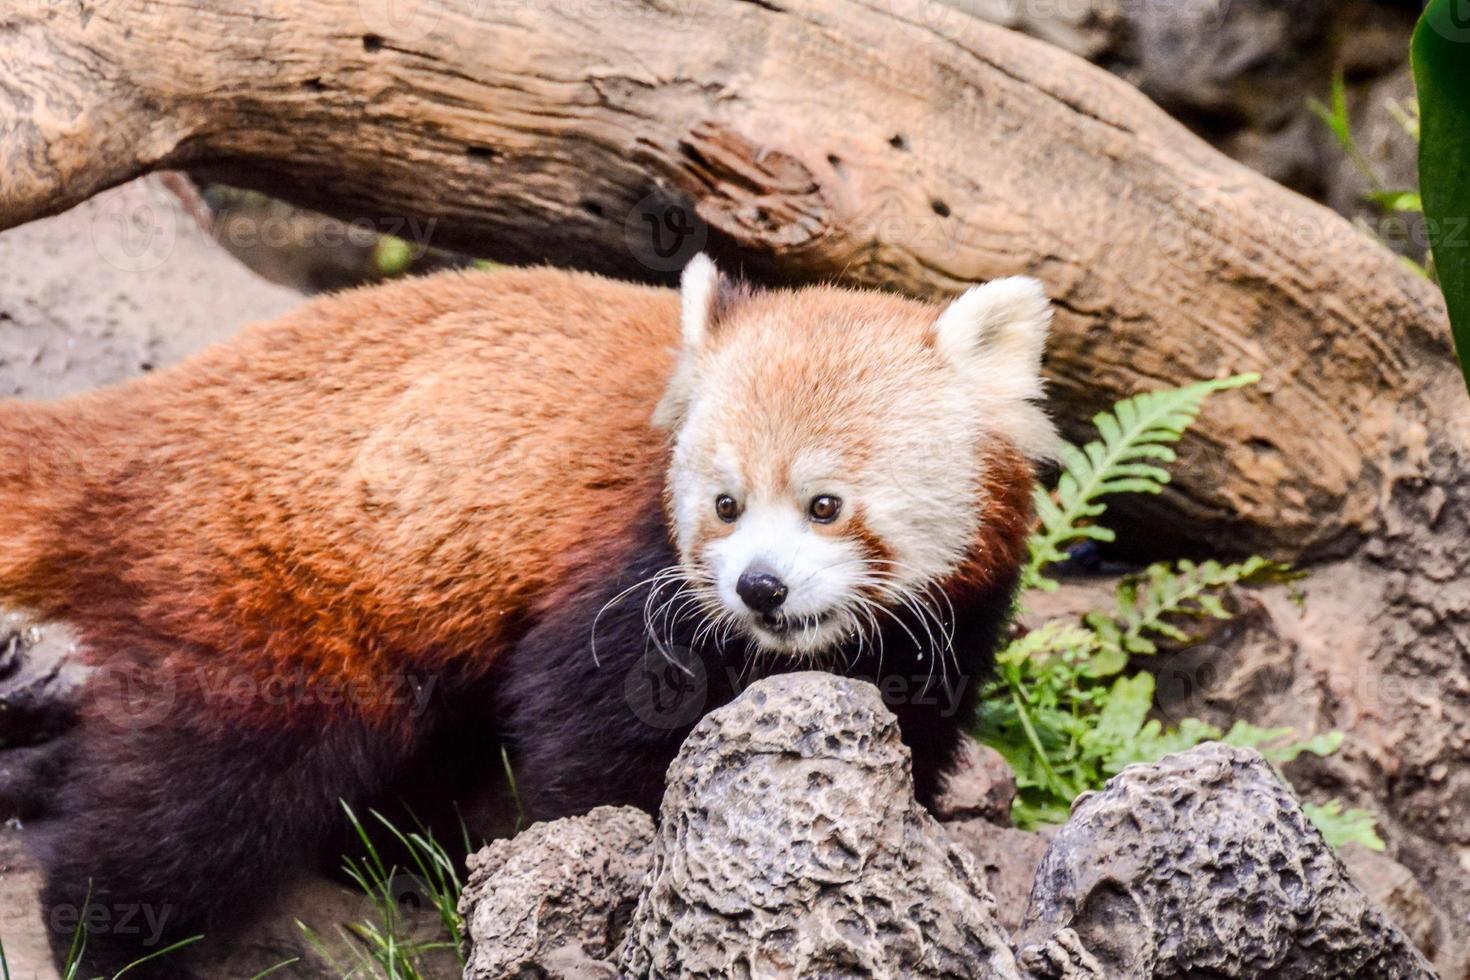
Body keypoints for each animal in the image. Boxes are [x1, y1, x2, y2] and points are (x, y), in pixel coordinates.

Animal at [2, 257, 1058, 975]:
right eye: (725, 504)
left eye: (825, 505)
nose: (759, 587)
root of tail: (146, 419)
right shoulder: (621, 583)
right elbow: (587, 744)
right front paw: (623, 872)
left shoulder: (942, 628)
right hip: (266, 601)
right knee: (187, 801)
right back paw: (108, 940)